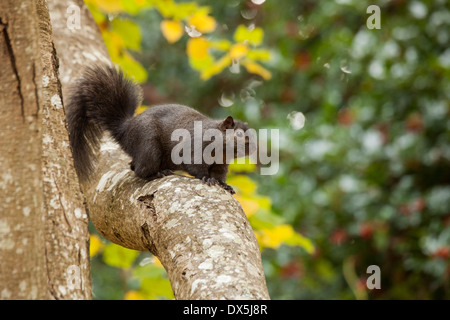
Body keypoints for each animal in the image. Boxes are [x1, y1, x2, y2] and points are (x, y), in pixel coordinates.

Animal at [65, 65, 255, 194]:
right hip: (149, 144)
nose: (253, 148)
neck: (221, 149)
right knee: (140, 170)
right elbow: (195, 167)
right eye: (238, 134)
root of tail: (125, 130)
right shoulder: (195, 148)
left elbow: (219, 175)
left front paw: (224, 184)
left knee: (133, 165)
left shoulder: (221, 164)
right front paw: (206, 178)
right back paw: (157, 174)